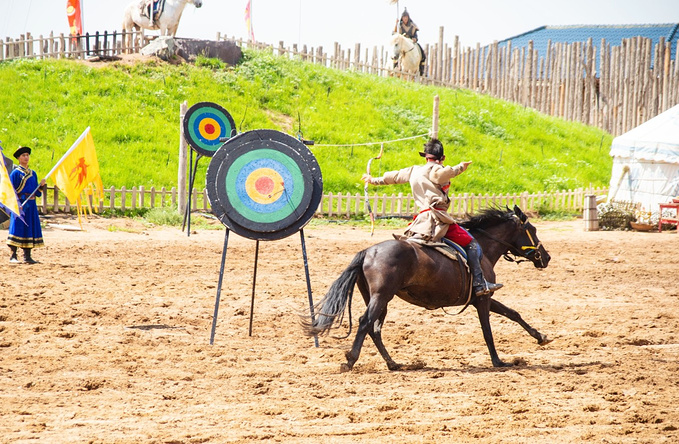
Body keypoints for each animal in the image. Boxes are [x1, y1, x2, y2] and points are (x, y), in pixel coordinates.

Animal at [306, 206, 552, 370]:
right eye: (533, 229)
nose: (546, 257)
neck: (482, 248)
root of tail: (368, 251)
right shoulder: (483, 298)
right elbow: (487, 331)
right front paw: (498, 361)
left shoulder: (483, 298)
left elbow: (513, 313)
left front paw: (540, 336)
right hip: (381, 297)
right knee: (366, 322)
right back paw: (351, 360)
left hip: (378, 299)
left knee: (374, 329)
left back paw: (393, 363)